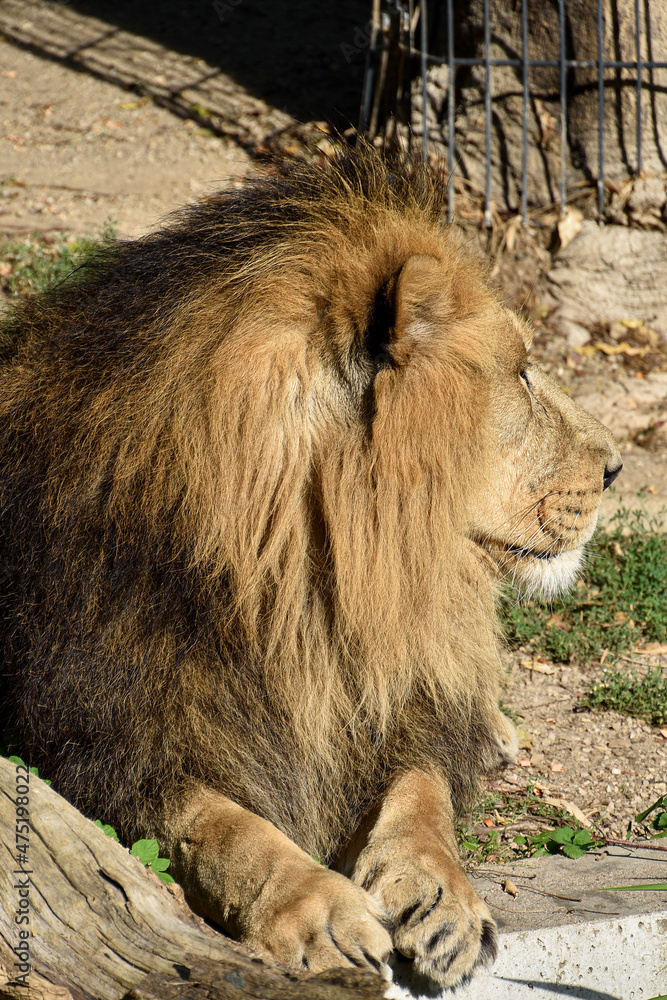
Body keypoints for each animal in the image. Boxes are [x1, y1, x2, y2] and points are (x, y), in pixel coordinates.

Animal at [0, 150, 621, 989]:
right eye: (521, 374)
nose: (617, 468)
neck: (304, 586)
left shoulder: (395, 694)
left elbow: (422, 792)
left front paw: (441, 897)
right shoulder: (94, 736)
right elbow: (223, 826)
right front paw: (315, 908)